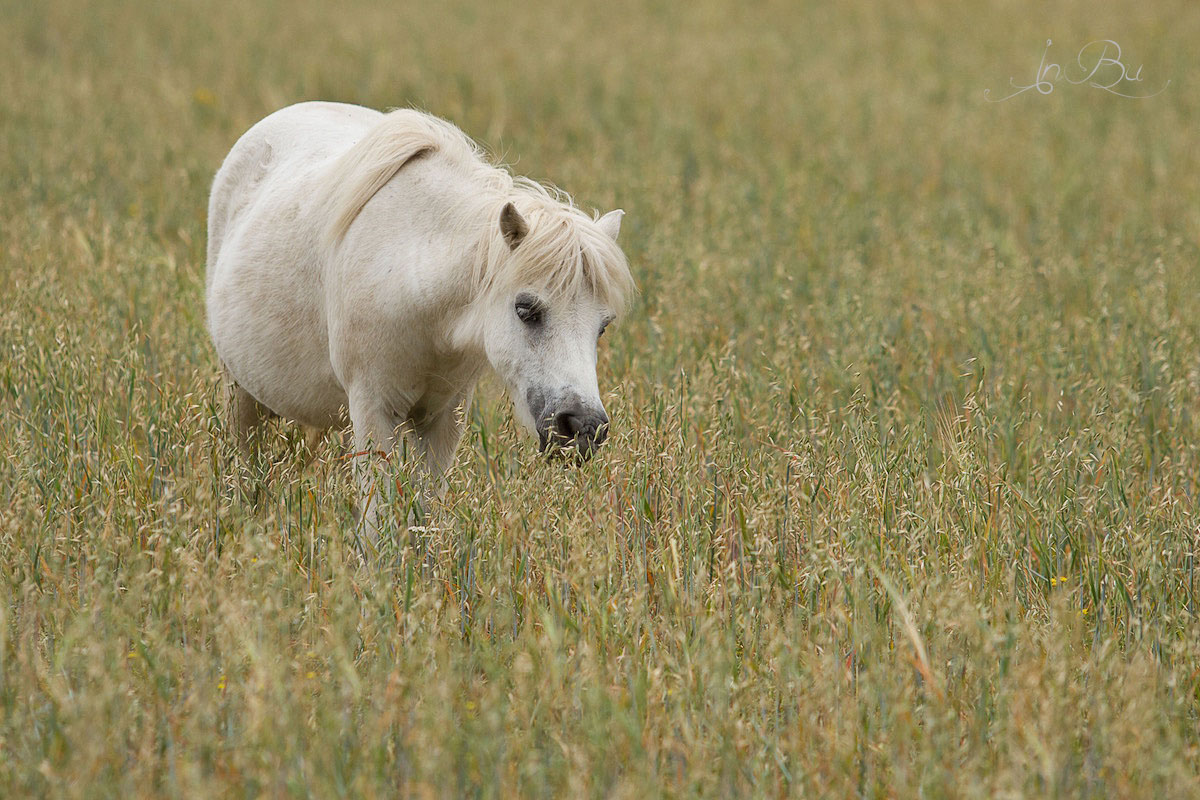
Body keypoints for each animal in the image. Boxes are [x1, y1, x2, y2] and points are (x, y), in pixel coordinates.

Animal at [206, 100, 638, 525]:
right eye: (525, 309)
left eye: (602, 326)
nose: (583, 428)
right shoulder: (375, 412)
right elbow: (377, 522)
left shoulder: (443, 418)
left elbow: (425, 516)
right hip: (239, 394)